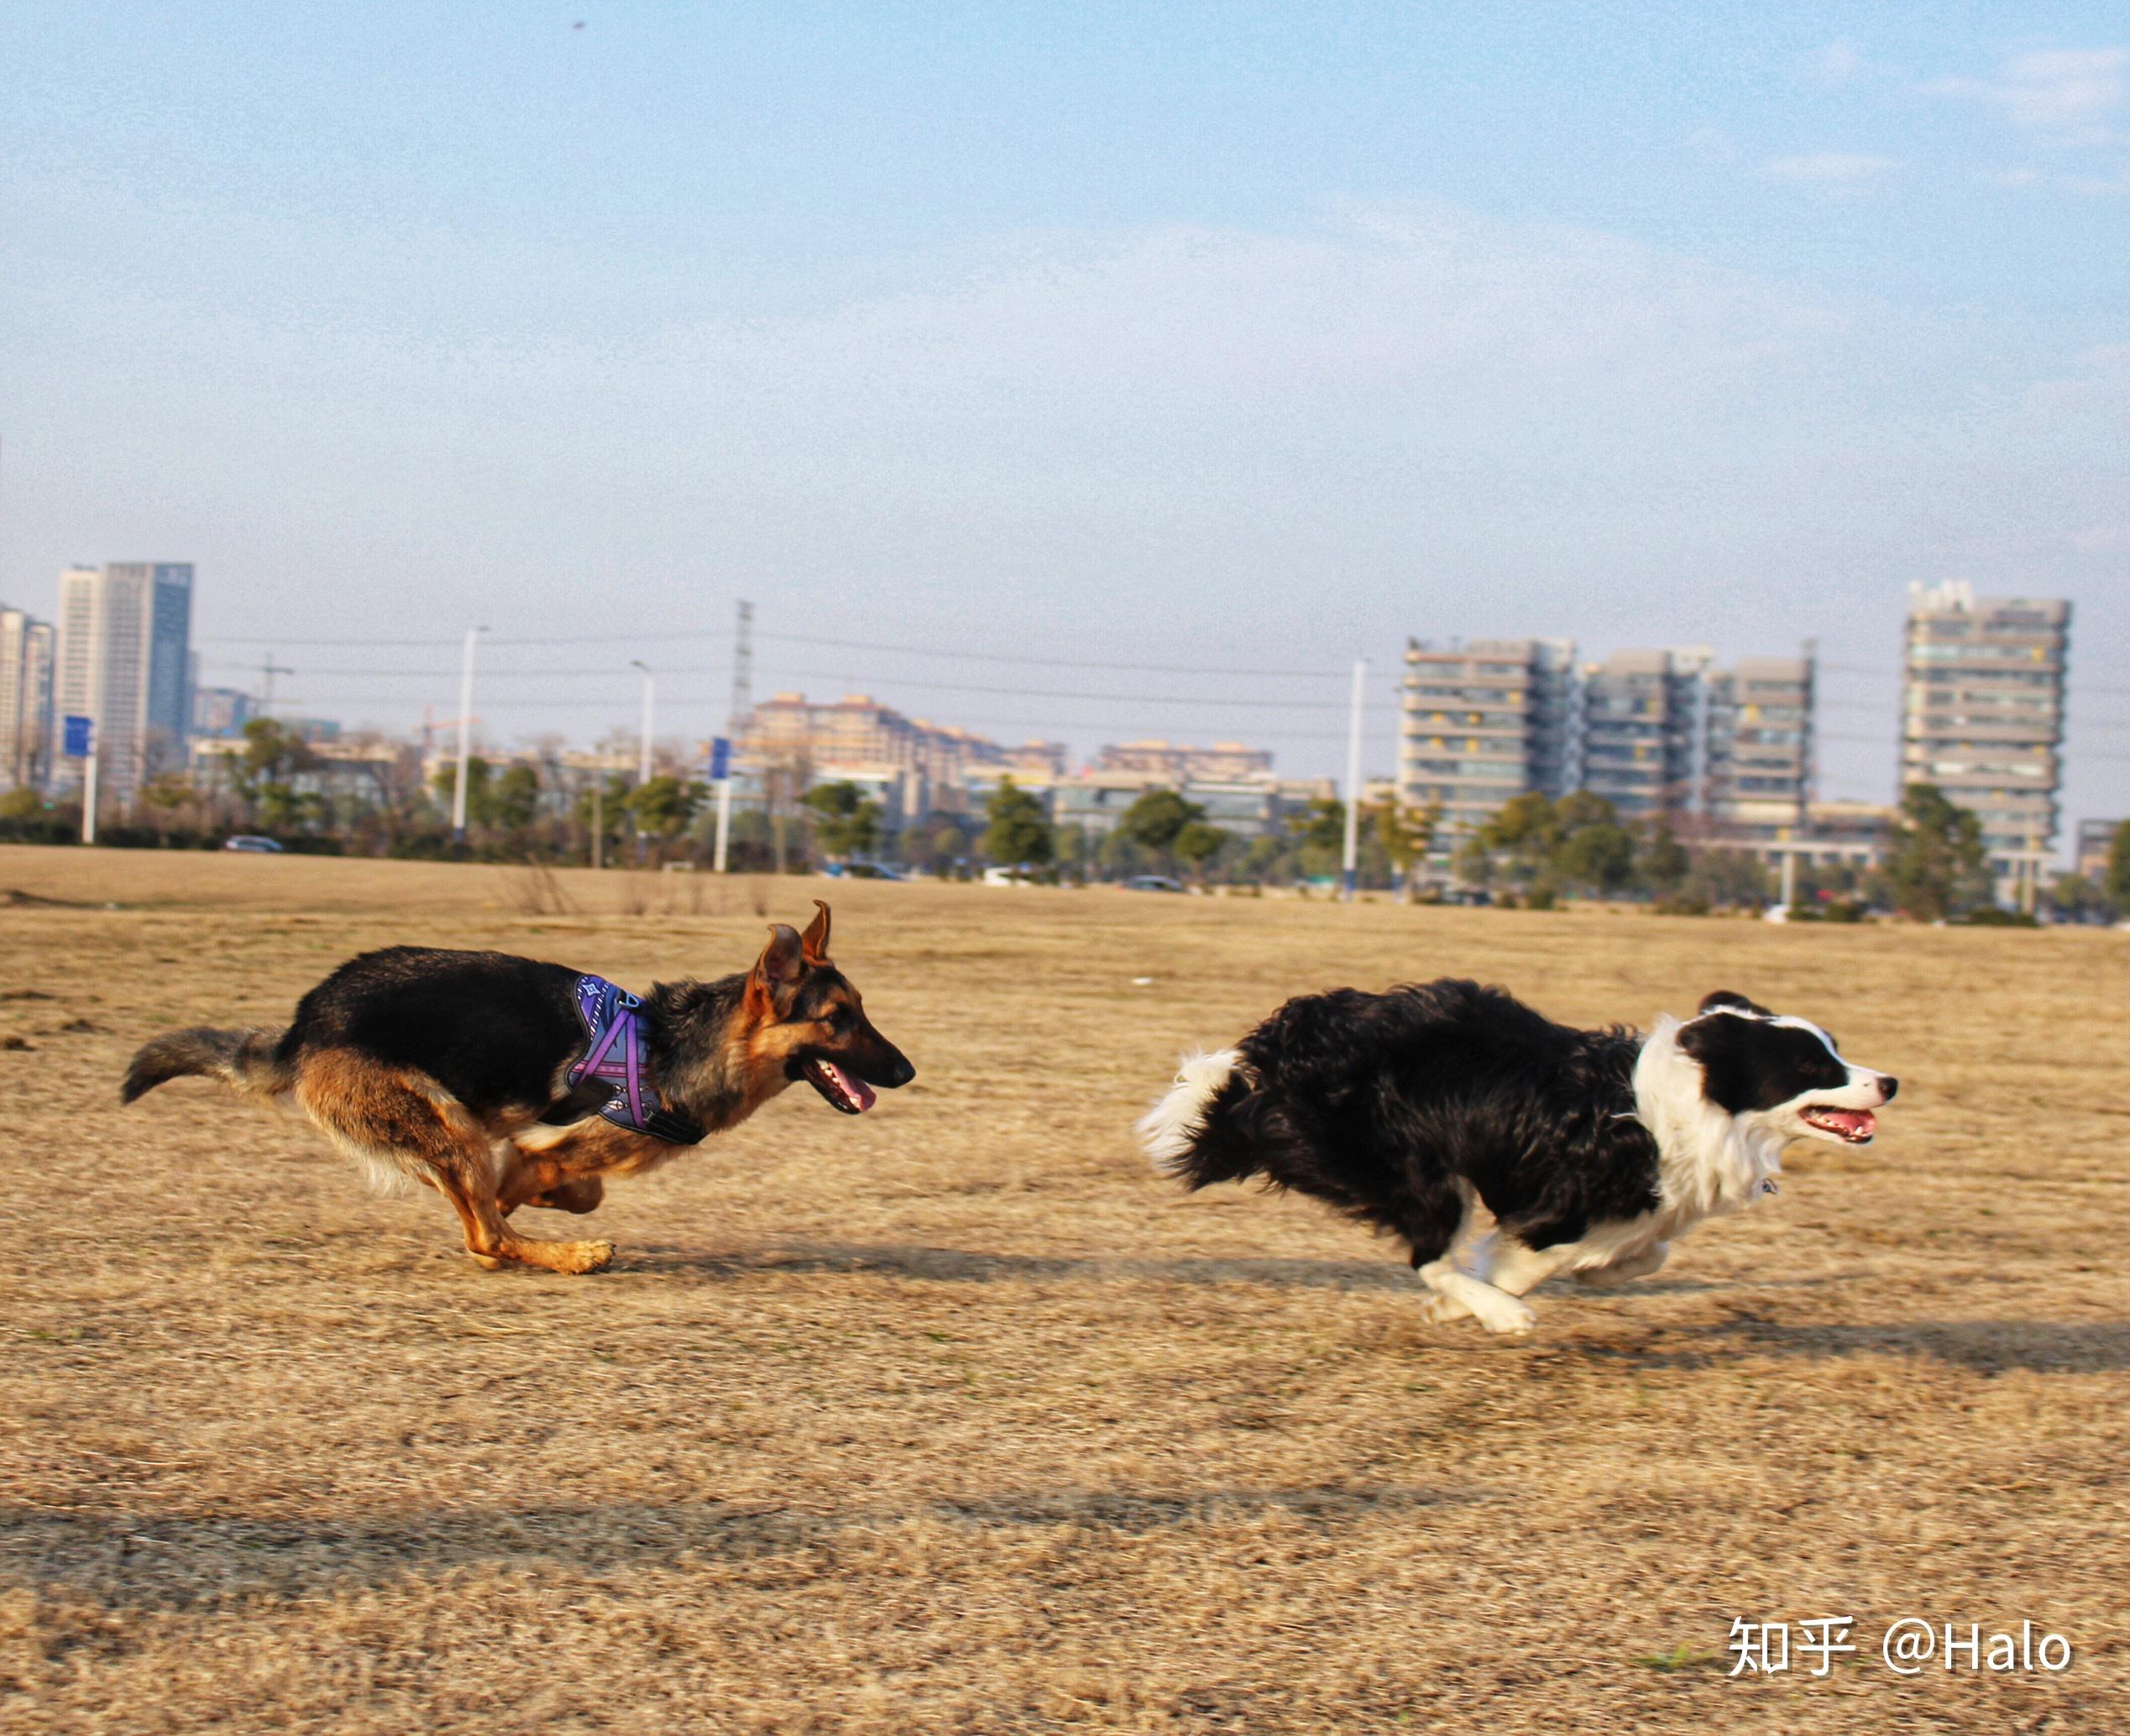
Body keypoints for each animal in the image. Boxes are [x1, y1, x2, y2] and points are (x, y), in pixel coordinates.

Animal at [120, 912, 911, 1278]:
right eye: (837, 1020)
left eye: (861, 1011)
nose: (906, 1073)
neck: (678, 1047)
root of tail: (303, 1025)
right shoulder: (540, 1143)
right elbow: (525, 1192)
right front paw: (537, 1213)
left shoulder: (546, 1148)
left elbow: (572, 1188)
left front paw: (547, 1199)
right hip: (446, 1123)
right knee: (484, 1235)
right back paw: (572, 1256)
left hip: (449, 1126)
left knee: (480, 1222)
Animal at [1141, 984, 1908, 1337]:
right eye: (1811, 1066)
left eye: (1834, 1049)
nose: (1890, 1081)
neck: (1695, 1104)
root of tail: (1272, 1054)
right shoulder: (1558, 1203)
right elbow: (1524, 1261)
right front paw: (1487, 1303)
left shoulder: (1646, 1211)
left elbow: (1649, 1251)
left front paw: (1603, 1270)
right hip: (1416, 1169)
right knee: (1429, 1254)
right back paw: (1495, 1313)